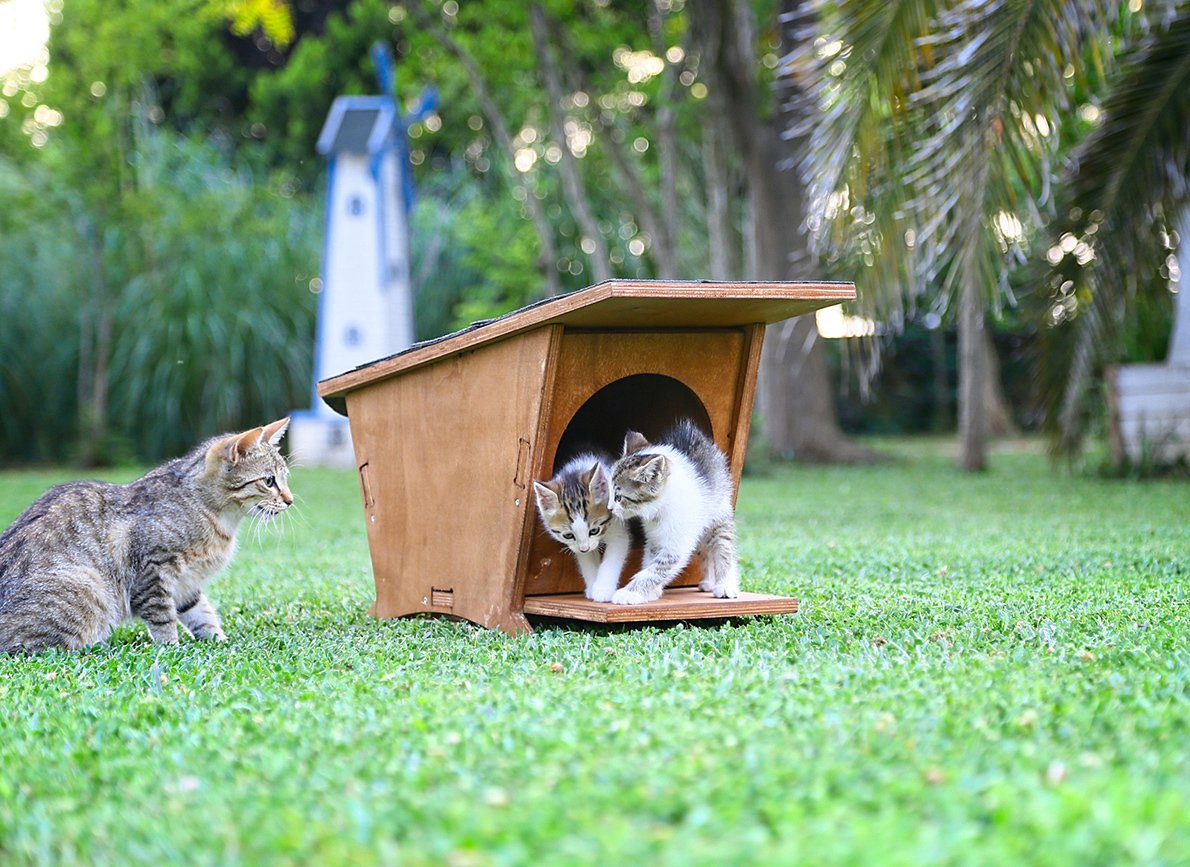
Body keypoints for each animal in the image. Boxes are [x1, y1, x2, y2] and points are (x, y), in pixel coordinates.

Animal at [1, 418, 293, 646]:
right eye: (269, 481)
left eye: (285, 478)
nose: (290, 500)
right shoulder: (152, 570)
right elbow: (163, 617)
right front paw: (171, 647)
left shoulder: (186, 584)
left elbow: (202, 613)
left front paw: (220, 642)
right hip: (87, 585)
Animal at [609, 418, 737, 601]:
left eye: (619, 497)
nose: (610, 508)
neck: (659, 511)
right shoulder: (654, 539)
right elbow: (651, 562)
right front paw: (652, 591)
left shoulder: (677, 543)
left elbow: (657, 569)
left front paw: (630, 593)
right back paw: (709, 582)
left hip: (718, 513)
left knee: (723, 547)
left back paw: (725, 584)